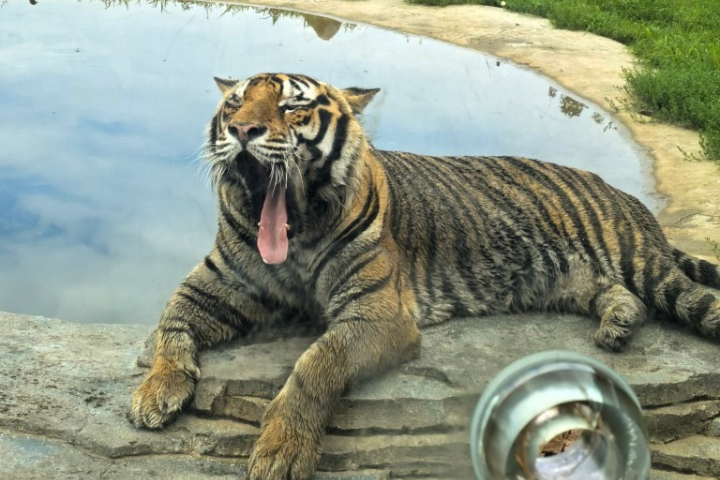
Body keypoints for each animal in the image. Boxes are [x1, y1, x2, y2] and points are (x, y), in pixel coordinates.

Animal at [130, 72, 720, 480]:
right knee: (620, 296)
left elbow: (315, 364)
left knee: (689, 298)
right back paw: (615, 328)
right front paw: (155, 392)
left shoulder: (376, 313)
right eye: (234, 102)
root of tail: (628, 197)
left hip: (641, 263)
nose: (241, 129)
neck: (294, 233)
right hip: (573, 280)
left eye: (292, 106)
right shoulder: (216, 283)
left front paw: (281, 449)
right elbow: (172, 322)